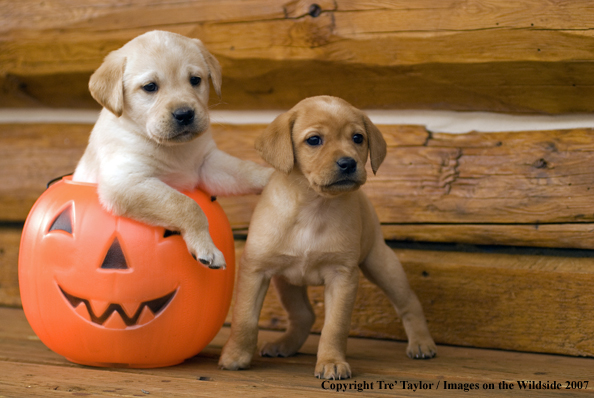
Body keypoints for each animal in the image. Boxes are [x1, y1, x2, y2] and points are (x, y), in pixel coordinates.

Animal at [217, 96, 434, 380]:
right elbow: (245, 318)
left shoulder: (341, 277)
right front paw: (235, 356)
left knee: (410, 303)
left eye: (358, 138)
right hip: (285, 282)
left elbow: (335, 327)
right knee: (304, 315)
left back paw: (422, 343)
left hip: (382, 265)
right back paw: (284, 344)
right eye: (314, 140)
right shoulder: (256, 270)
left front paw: (331, 361)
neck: (313, 206)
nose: (348, 163)